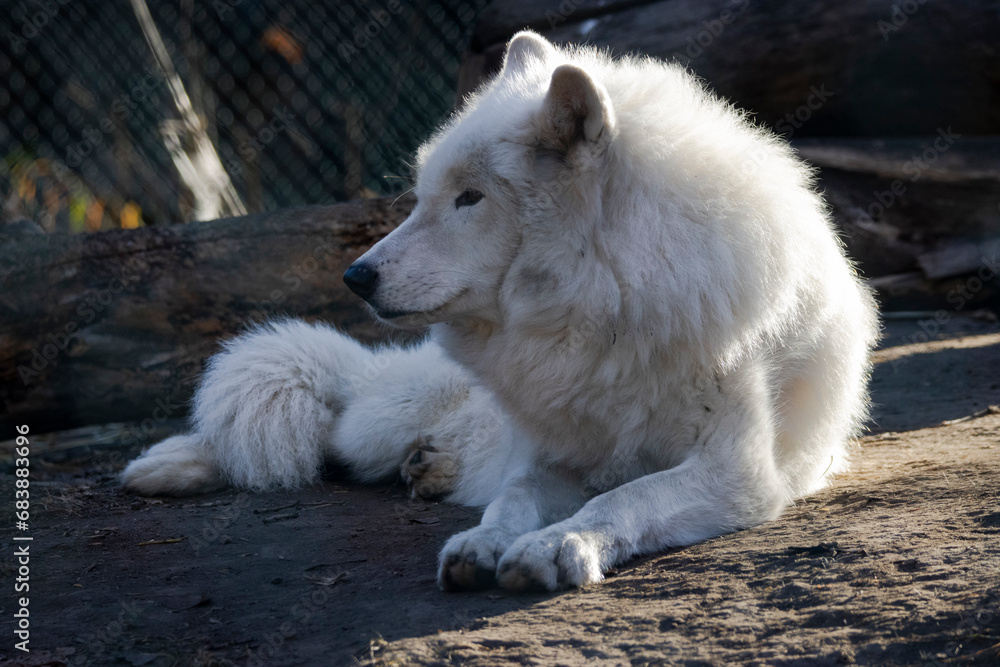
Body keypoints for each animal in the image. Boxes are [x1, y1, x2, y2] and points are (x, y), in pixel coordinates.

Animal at [122, 31, 878, 592]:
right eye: (426, 195)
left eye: (470, 198)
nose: (355, 276)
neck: (607, 307)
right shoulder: (555, 455)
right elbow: (511, 498)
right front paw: (485, 540)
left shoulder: (737, 473)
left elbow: (622, 498)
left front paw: (557, 545)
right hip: (382, 418)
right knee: (319, 424)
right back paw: (164, 466)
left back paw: (430, 470)